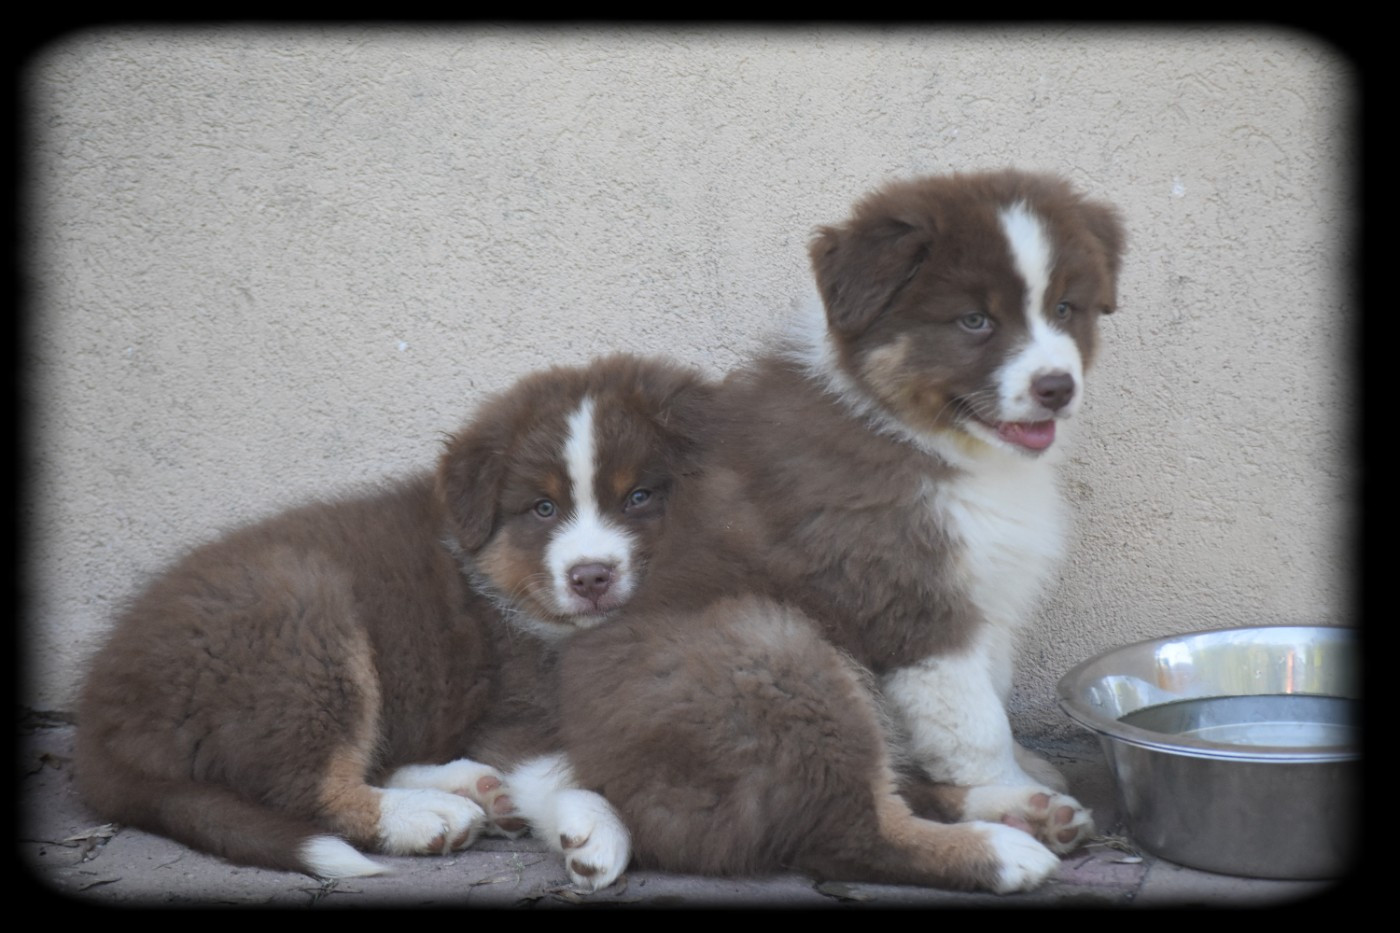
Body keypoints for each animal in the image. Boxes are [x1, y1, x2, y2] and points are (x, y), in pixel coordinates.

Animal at [75, 354, 711, 888]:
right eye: (544, 509)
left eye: (640, 497)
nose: (590, 576)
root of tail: (99, 719)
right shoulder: (515, 708)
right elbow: (563, 764)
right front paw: (596, 831)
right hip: (304, 624)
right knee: (306, 790)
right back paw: (428, 815)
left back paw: (475, 786)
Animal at [557, 171, 1125, 893]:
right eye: (975, 321)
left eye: (1065, 309)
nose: (1056, 387)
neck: (915, 432)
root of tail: (622, 793)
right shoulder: (913, 600)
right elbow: (975, 724)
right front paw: (1007, 775)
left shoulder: (984, 591)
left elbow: (985, 700)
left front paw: (1022, 772)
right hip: (777, 654)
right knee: (850, 830)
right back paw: (1001, 845)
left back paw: (1026, 807)